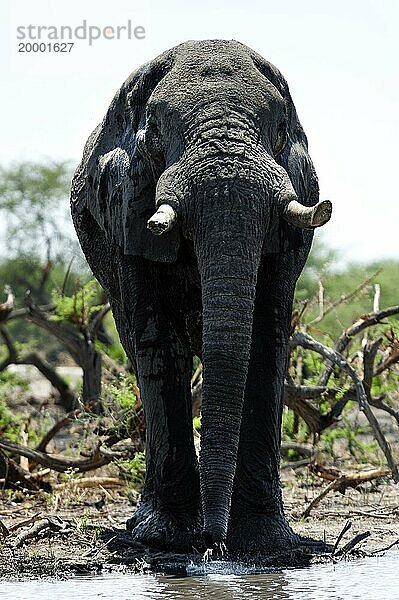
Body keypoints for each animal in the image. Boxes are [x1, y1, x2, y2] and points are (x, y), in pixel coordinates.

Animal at [71, 39, 332, 556]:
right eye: (155, 136)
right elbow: (159, 344)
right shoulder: (126, 208)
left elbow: (266, 344)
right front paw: (167, 539)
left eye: (279, 131)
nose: (214, 542)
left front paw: (265, 545)